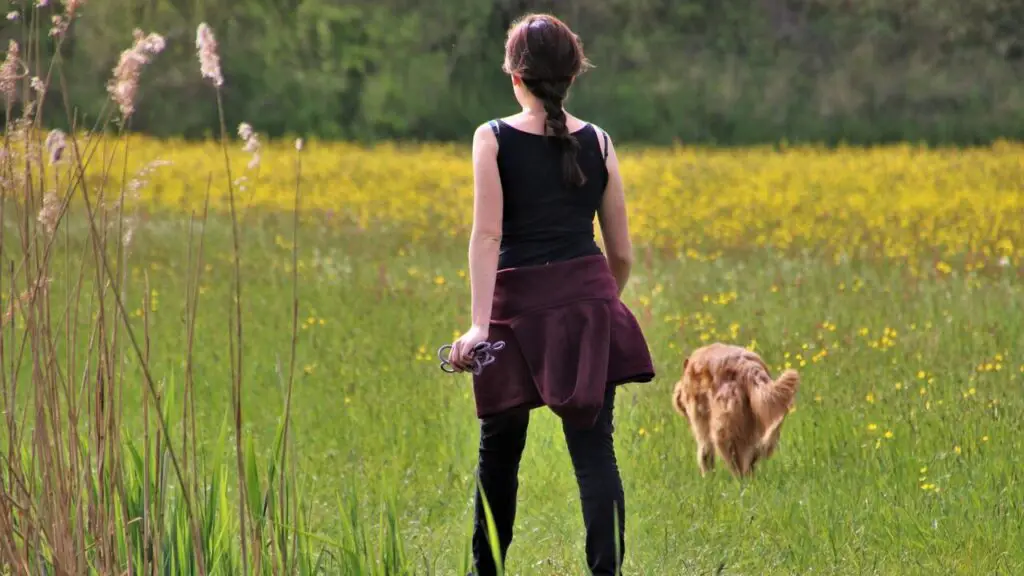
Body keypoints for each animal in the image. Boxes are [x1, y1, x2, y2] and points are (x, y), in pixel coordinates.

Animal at [671, 340, 798, 475]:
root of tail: (748, 367)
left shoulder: (701, 422)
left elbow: (705, 455)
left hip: (723, 431)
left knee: (738, 465)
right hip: (768, 427)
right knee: (754, 456)